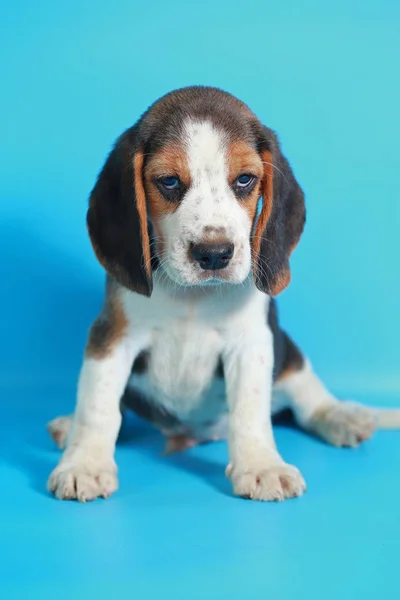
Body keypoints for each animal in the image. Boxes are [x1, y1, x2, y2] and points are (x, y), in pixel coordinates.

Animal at [48, 86, 400, 504]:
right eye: (168, 182)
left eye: (245, 179)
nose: (214, 254)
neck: (192, 297)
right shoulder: (113, 336)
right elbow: (98, 405)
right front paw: (84, 463)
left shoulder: (251, 343)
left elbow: (249, 410)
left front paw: (262, 466)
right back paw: (68, 426)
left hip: (288, 353)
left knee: (306, 397)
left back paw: (342, 416)